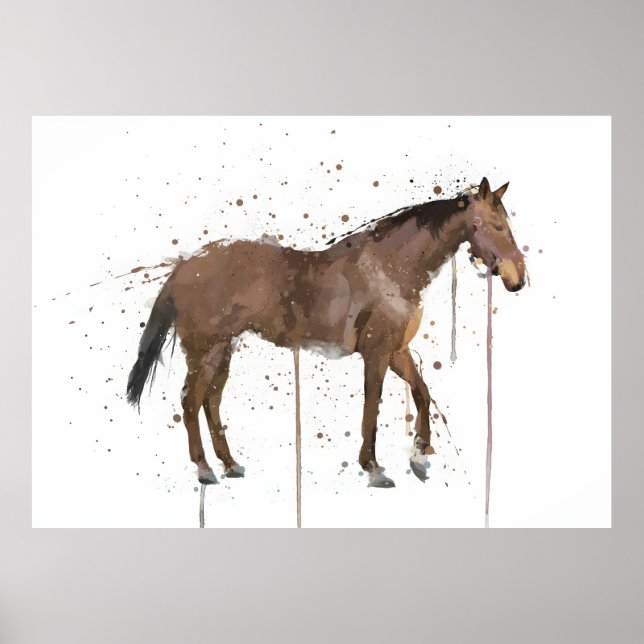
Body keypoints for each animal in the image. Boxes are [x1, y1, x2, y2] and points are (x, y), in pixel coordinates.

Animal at [127, 177, 525, 488]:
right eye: (497, 226)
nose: (518, 279)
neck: (391, 267)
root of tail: (184, 266)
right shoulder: (377, 354)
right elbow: (373, 406)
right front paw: (374, 468)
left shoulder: (397, 351)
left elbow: (423, 394)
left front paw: (420, 455)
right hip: (205, 350)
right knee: (191, 401)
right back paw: (205, 469)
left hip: (224, 349)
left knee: (211, 401)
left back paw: (230, 464)